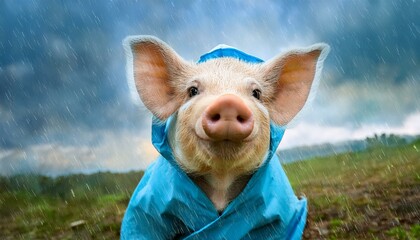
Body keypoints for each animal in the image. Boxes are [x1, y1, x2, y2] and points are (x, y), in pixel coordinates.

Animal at [120, 34, 330, 239]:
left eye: (256, 93)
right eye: (192, 90)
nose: (229, 101)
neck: (221, 182)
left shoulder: (282, 213)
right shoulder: (147, 209)